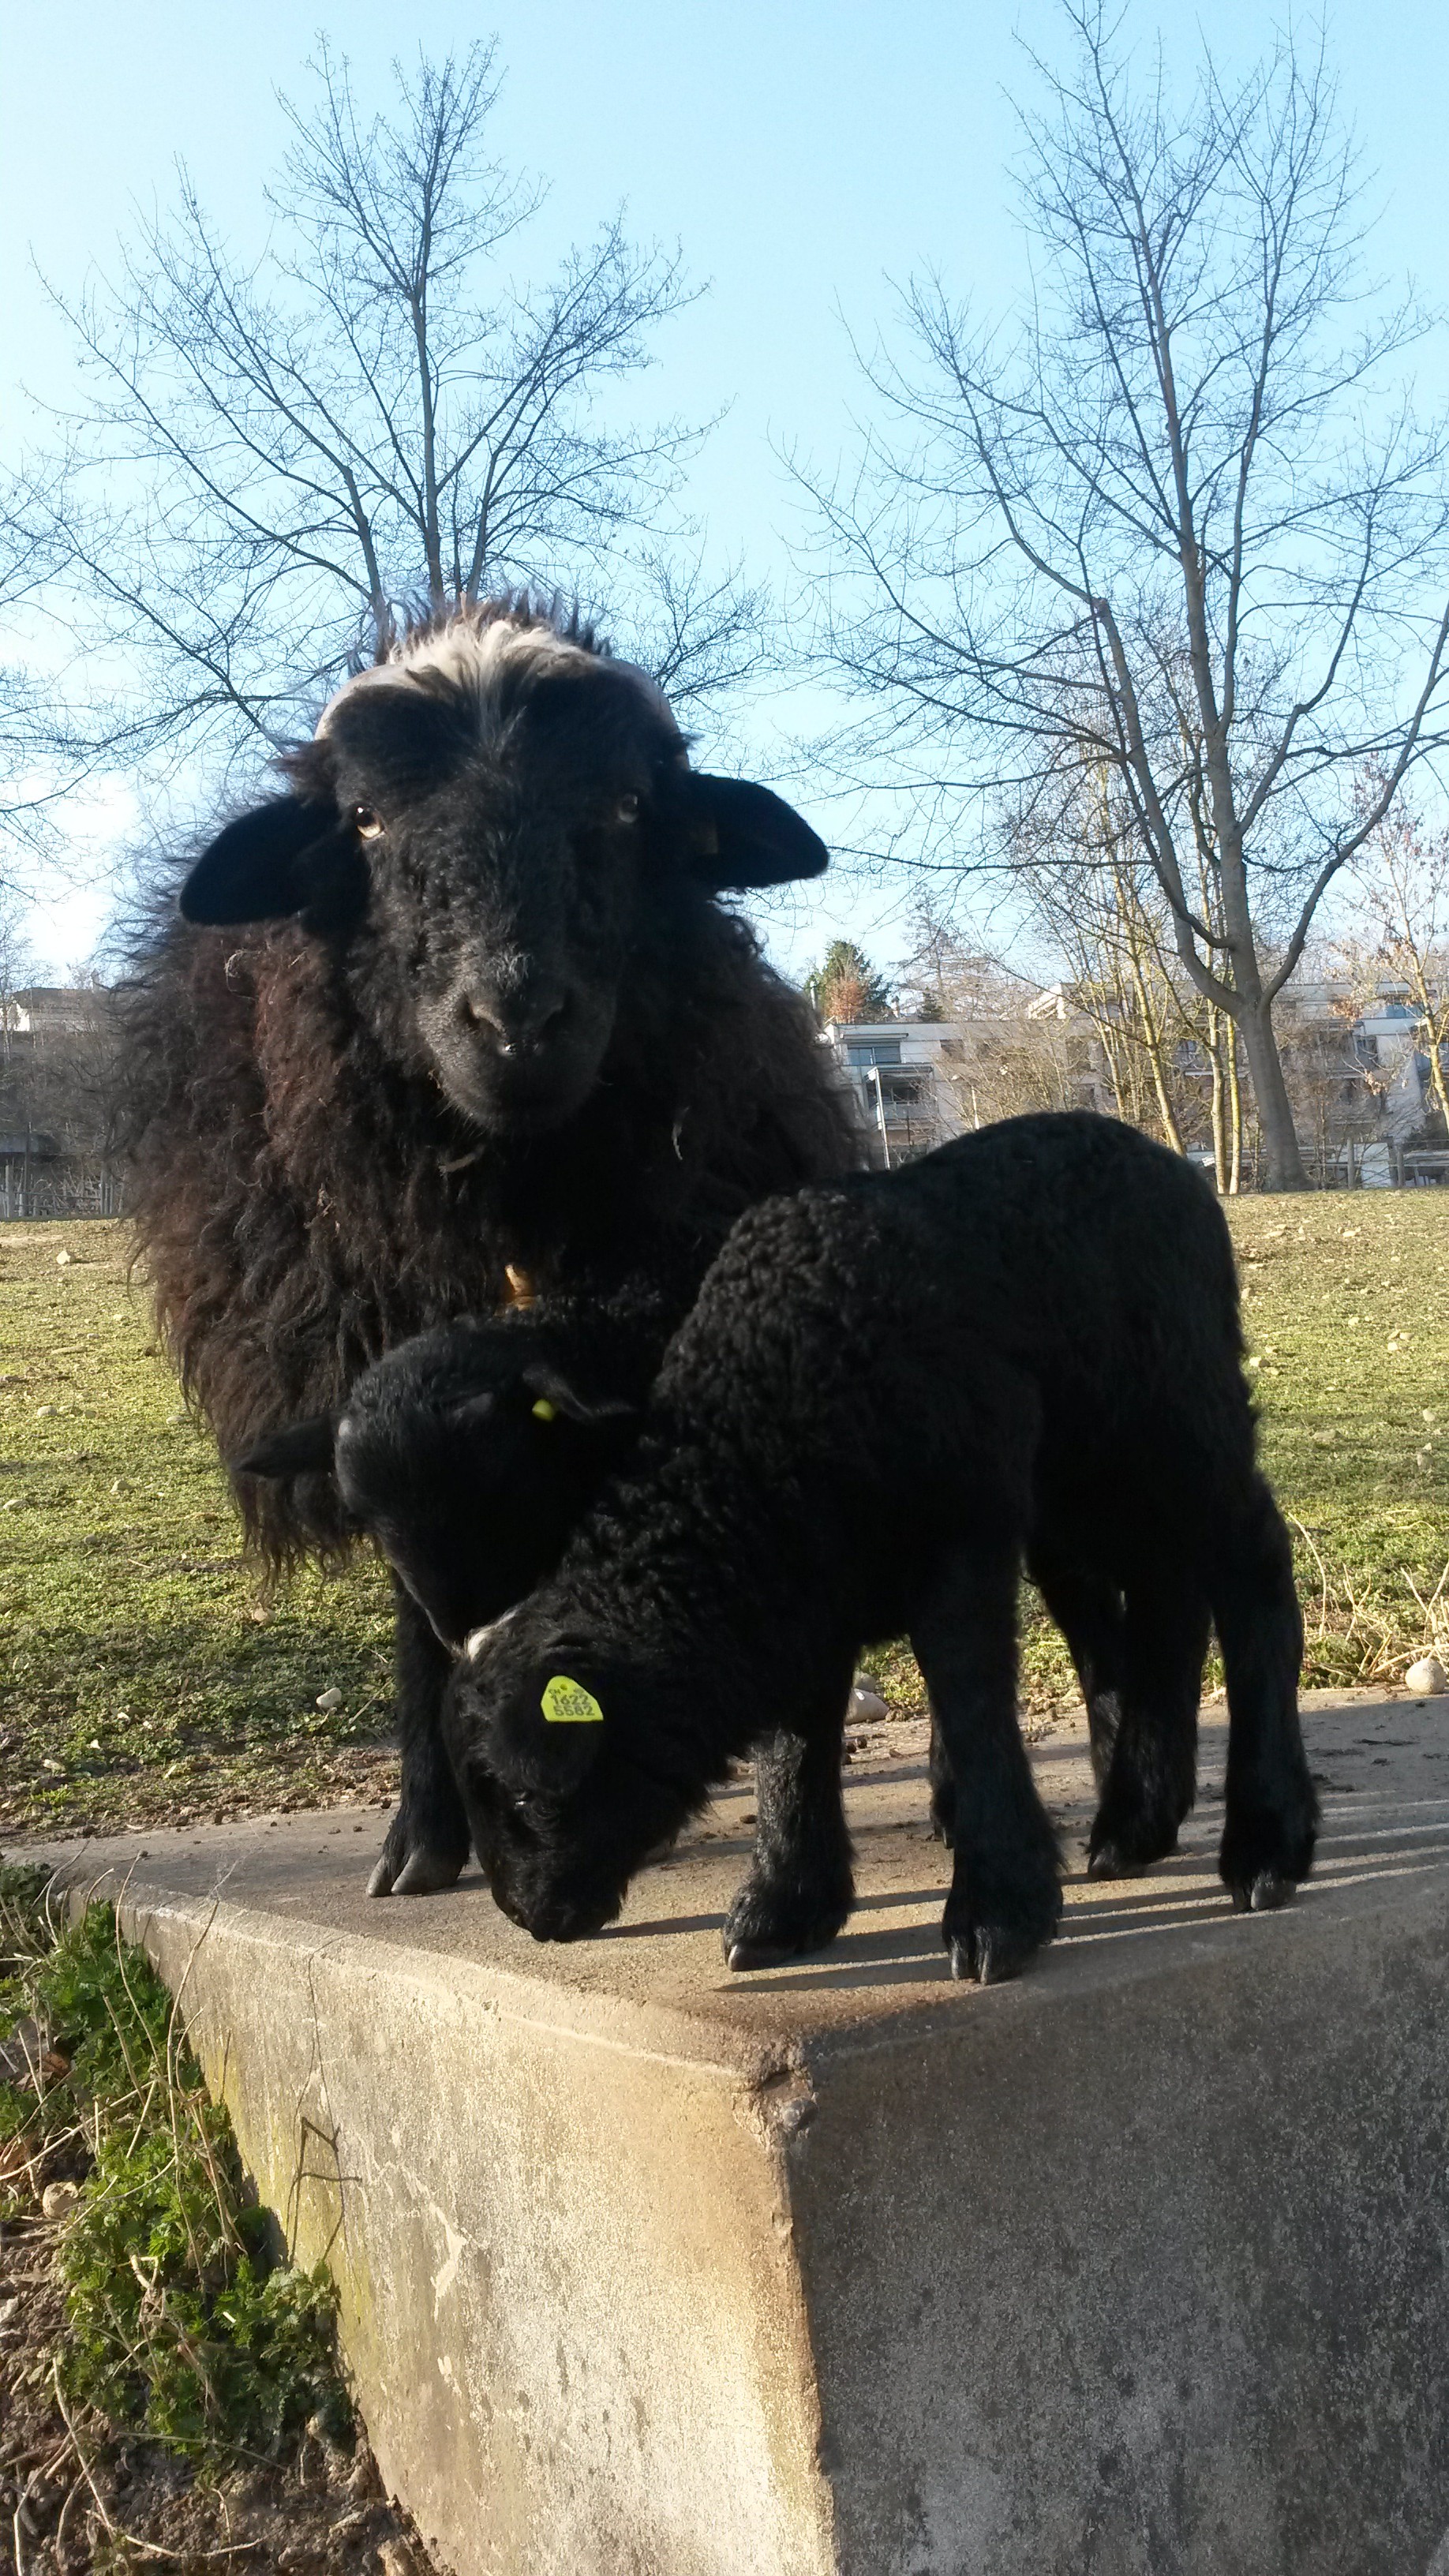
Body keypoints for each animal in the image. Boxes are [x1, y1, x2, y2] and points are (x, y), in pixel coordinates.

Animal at [121, 597, 856, 1896]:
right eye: (364, 819)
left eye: (627, 806)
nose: (515, 1021)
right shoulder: (385, 1375)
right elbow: (423, 1608)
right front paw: (426, 1829)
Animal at [440, 1118, 1309, 1978]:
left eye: (526, 1796)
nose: (524, 1918)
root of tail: (1173, 1164)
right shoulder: (804, 1594)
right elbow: (792, 1743)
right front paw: (784, 1903)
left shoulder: (958, 1530)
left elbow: (968, 1699)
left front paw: (996, 1911)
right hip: (1086, 1484)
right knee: (1162, 1595)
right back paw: (1137, 1822)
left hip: (1181, 1413)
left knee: (1251, 1567)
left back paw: (1268, 1840)